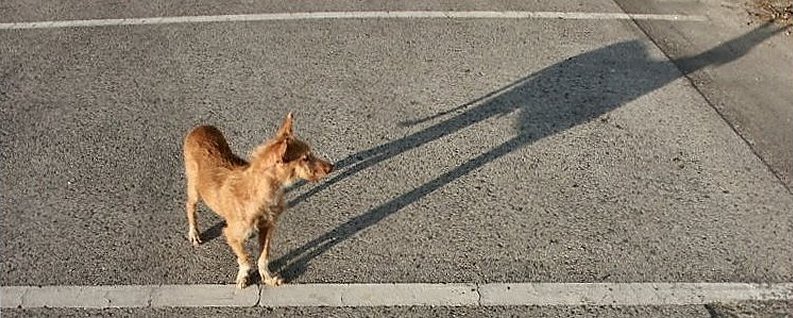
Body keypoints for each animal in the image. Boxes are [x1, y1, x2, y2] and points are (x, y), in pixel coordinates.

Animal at [183, 113, 332, 288]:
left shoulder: (267, 227)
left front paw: (267, 277)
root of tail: (200, 128)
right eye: (305, 158)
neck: (264, 192)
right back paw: (194, 232)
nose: (331, 167)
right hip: (194, 187)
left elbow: (263, 256)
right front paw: (244, 276)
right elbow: (245, 258)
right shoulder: (231, 235)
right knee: (189, 206)